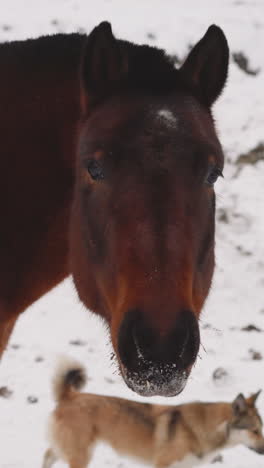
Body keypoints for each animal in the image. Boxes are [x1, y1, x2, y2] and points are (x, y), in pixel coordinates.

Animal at [42, 360, 264, 466]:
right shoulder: (163, 464)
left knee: (48, 454)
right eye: (254, 430)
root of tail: (69, 395)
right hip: (81, 454)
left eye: (261, 429)